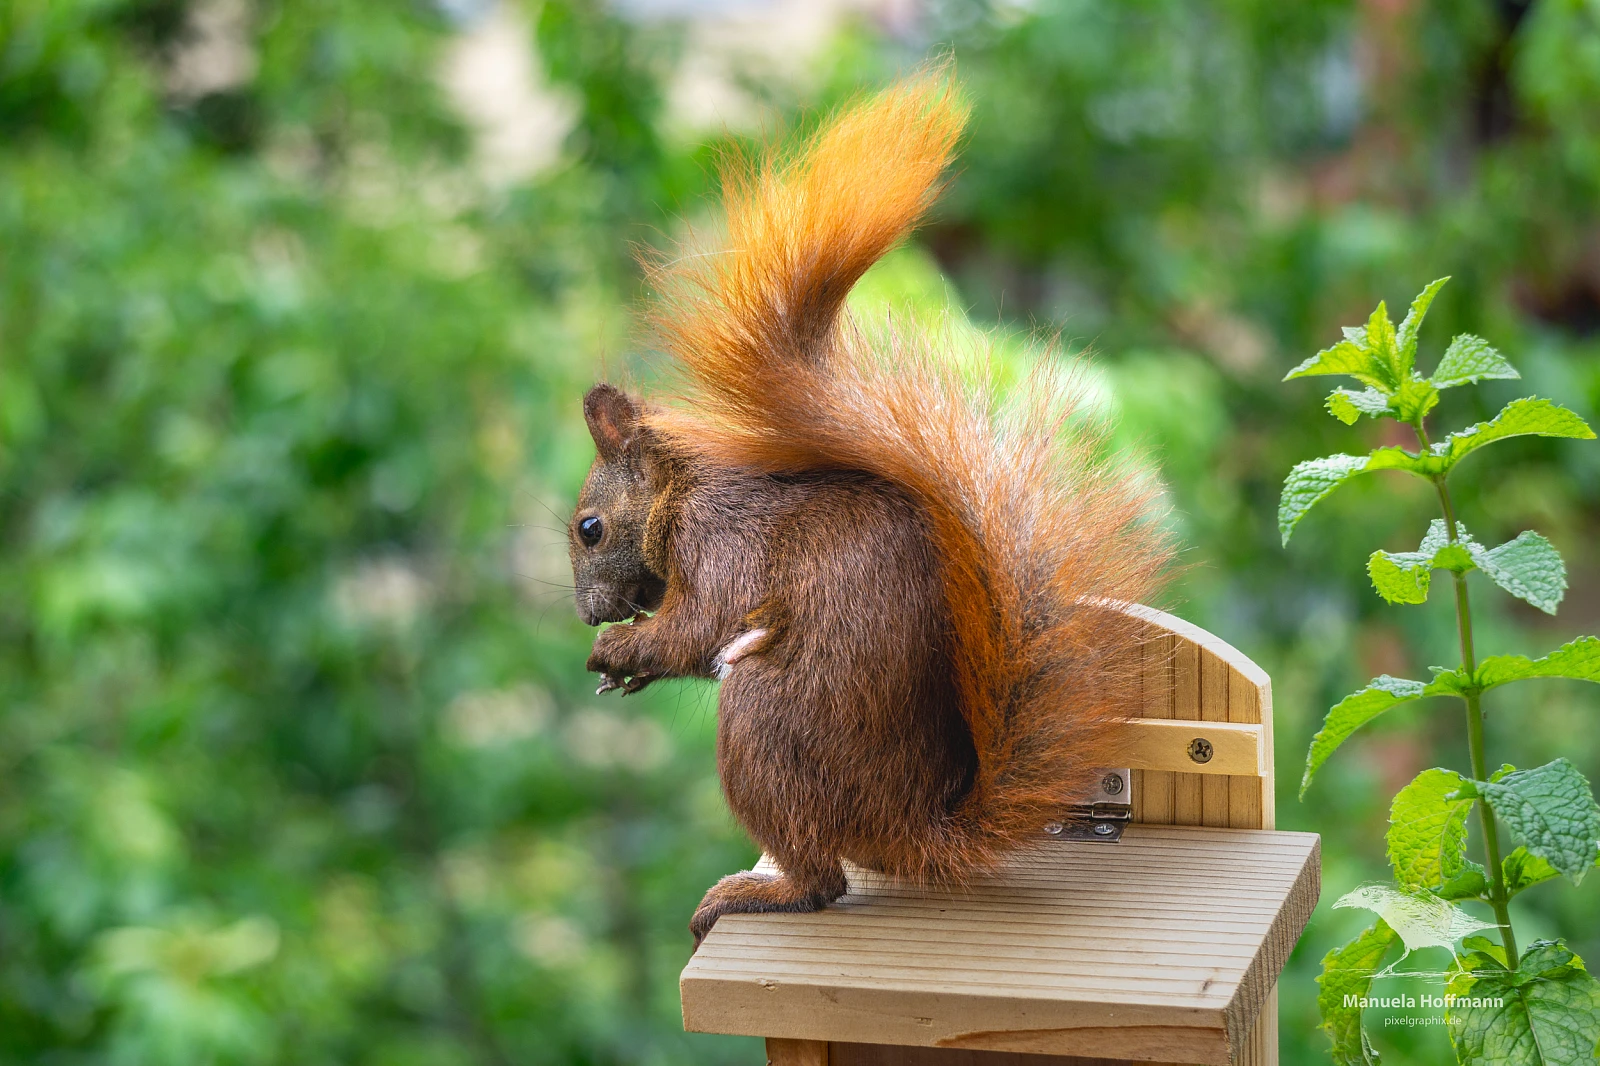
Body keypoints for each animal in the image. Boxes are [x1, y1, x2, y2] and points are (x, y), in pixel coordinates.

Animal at [567, 72, 1172, 946]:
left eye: (589, 529)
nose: (587, 614)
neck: (680, 493)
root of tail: (915, 827)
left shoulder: (722, 541)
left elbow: (699, 625)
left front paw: (620, 651)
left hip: (765, 721)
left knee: (822, 880)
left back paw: (757, 891)